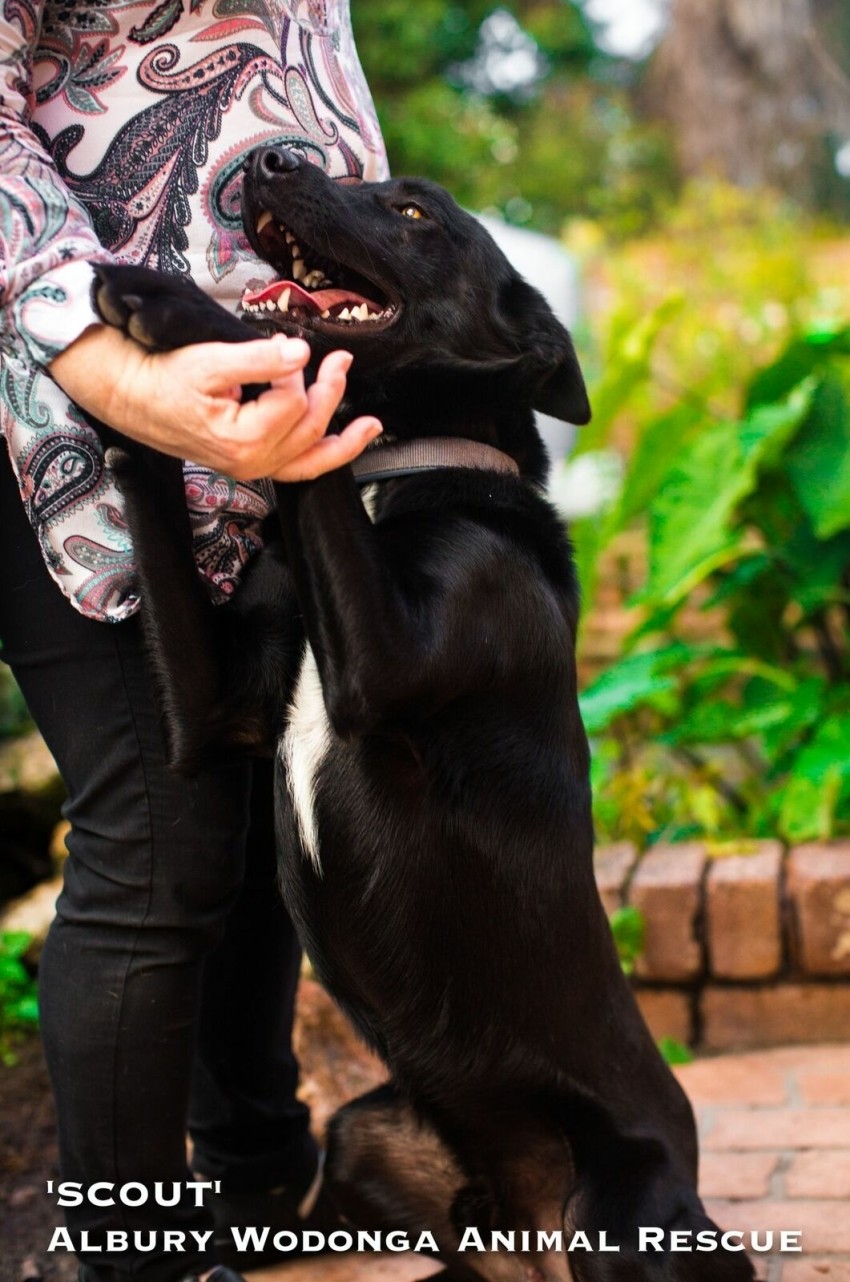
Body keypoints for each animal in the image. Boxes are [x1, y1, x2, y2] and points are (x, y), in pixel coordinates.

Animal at [92, 145, 755, 1282]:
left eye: (412, 213)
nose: (271, 159)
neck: (398, 475)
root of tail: (525, 1235)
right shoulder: (213, 717)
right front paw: (125, 408)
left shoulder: (384, 664)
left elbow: (304, 392)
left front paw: (171, 308)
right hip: (367, 1131)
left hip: (622, 1210)